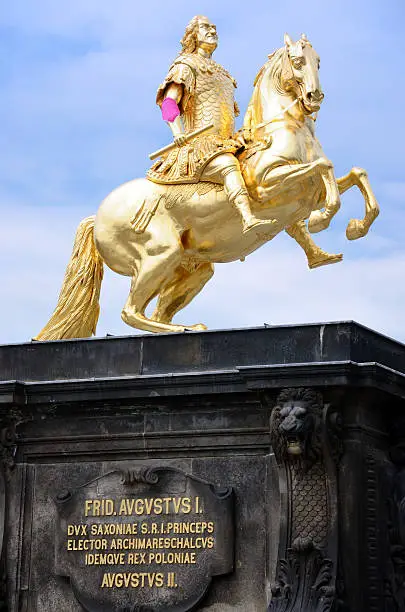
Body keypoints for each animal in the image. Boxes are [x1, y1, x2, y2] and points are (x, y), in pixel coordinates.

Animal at [34, 34, 378, 340]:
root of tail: (97, 217)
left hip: (192, 269)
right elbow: (325, 168)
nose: (314, 98)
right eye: (297, 62)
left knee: (155, 311)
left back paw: (187, 328)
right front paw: (322, 219)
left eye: (318, 61)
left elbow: (355, 174)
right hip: (160, 254)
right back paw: (184, 329)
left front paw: (354, 228)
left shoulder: (309, 193)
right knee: (130, 311)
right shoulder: (268, 186)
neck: (281, 131)